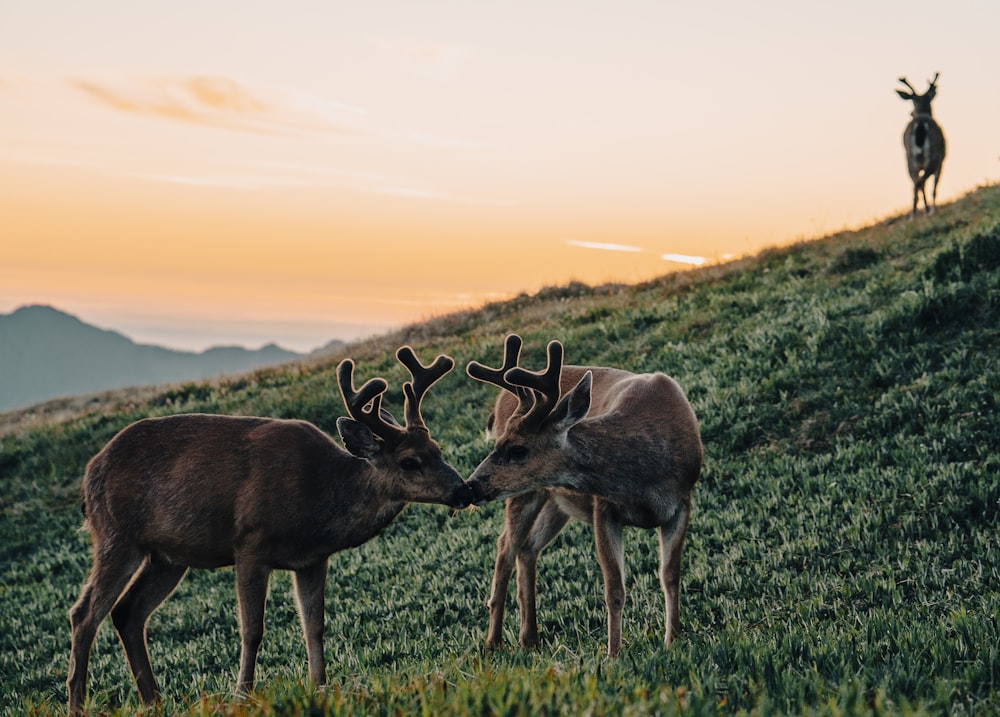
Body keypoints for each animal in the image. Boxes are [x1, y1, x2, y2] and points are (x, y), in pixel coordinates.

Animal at [67, 346, 472, 712]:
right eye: (409, 461)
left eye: (437, 448)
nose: (463, 489)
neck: (318, 498)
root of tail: (89, 477)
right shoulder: (250, 544)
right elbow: (252, 629)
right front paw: (242, 695)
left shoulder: (312, 560)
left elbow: (315, 626)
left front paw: (321, 688)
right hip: (117, 534)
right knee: (84, 614)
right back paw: (77, 704)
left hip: (168, 557)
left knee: (128, 613)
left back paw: (154, 701)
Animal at [462, 332, 704, 656]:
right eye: (499, 443)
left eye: (518, 449)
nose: (471, 485)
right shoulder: (604, 507)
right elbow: (614, 589)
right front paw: (614, 654)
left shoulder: (682, 502)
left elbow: (670, 575)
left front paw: (673, 640)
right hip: (528, 493)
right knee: (505, 549)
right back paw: (493, 641)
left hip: (557, 499)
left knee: (527, 548)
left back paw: (530, 638)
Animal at [900, 73, 944, 220]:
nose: (911, 113)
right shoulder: (942, 160)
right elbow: (935, 186)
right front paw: (933, 209)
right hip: (934, 156)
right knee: (922, 182)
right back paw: (926, 210)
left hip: (909, 160)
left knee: (916, 183)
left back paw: (913, 214)